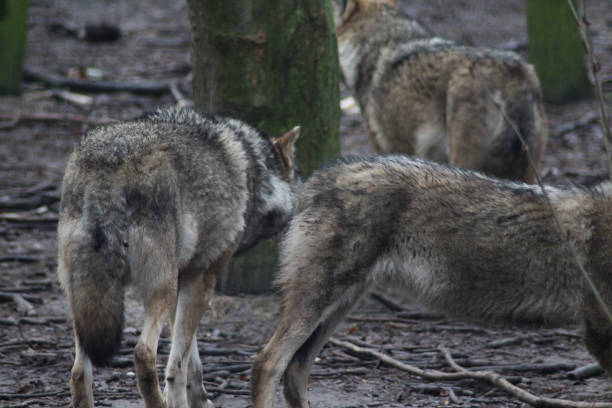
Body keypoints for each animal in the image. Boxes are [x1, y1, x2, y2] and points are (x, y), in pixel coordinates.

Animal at [57, 106, 302, 408]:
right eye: (298, 178)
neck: (253, 173)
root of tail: (108, 171)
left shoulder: (185, 281)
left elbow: (190, 357)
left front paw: (200, 400)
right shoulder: (203, 277)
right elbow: (179, 365)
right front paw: (184, 400)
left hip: (82, 299)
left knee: (79, 372)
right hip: (161, 287)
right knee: (143, 353)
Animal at [251, 154, 612, 408]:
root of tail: (320, 177)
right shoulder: (598, 331)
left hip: (341, 305)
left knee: (295, 371)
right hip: (321, 300)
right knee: (267, 362)